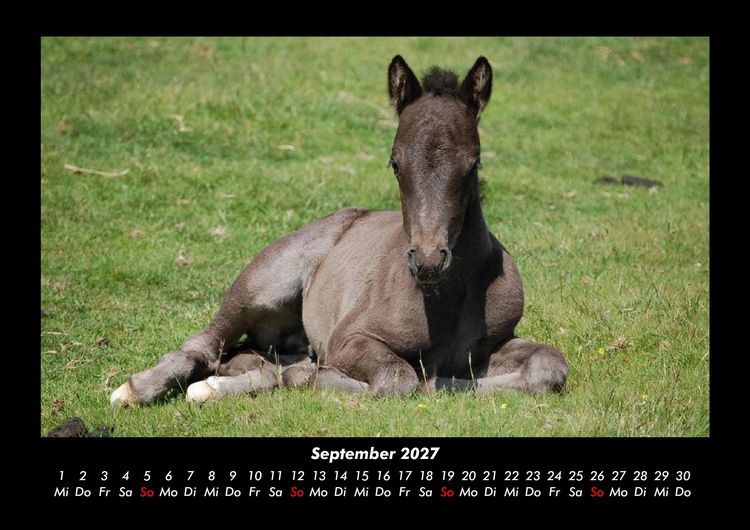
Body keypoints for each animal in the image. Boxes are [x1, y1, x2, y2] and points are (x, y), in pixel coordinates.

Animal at [110, 55, 568, 406]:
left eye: (473, 164)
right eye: (395, 163)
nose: (427, 260)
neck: (444, 301)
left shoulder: (492, 343)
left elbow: (549, 366)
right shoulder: (349, 339)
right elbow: (397, 379)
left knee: (249, 356)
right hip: (263, 283)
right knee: (207, 343)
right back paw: (137, 389)